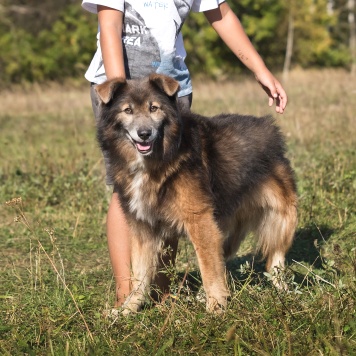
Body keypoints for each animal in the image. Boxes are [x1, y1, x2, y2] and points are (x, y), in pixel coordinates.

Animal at [94, 73, 298, 312]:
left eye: (154, 108)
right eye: (127, 110)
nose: (144, 134)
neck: (157, 158)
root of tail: (269, 126)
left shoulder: (199, 220)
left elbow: (209, 269)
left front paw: (216, 308)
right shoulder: (142, 226)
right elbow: (140, 276)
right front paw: (128, 309)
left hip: (281, 219)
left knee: (274, 260)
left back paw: (283, 292)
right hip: (227, 227)